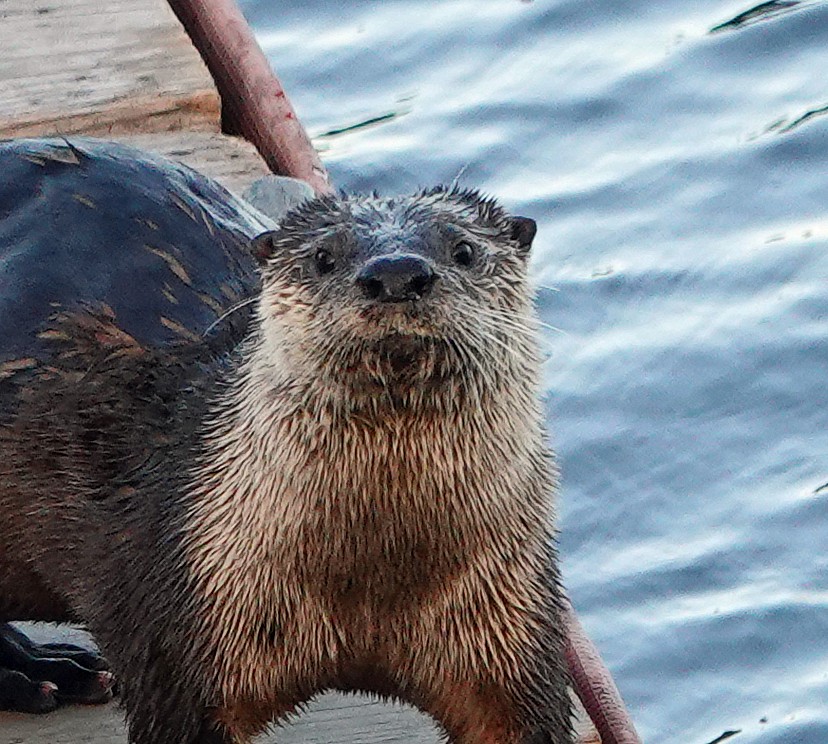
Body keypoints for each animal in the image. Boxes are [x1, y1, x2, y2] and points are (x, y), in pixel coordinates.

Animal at [0, 187, 573, 743]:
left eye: (464, 250)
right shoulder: (173, 631)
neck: (371, 576)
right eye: (323, 257)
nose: (395, 274)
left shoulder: (511, 627)